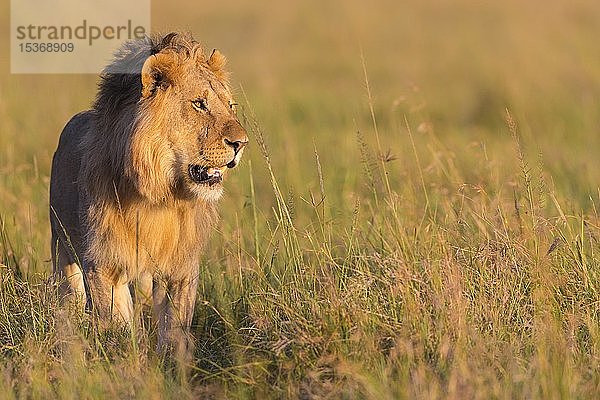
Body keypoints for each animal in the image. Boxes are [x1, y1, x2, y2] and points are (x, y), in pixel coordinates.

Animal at [49, 32, 248, 360]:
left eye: (230, 105)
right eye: (200, 104)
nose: (241, 143)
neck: (160, 195)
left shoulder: (181, 267)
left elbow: (175, 327)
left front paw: (172, 364)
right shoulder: (102, 263)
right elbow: (116, 323)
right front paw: (126, 359)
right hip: (61, 249)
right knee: (70, 297)